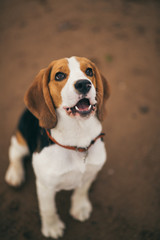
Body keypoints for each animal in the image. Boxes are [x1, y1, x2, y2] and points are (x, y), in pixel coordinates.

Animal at [5, 56, 110, 238]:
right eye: (59, 76)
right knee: (15, 152)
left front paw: (80, 207)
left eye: (89, 71)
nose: (84, 84)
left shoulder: (89, 174)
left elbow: (81, 190)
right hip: (21, 140)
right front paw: (52, 227)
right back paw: (15, 174)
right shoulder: (45, 186)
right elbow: (48, 209)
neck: (77, 142)